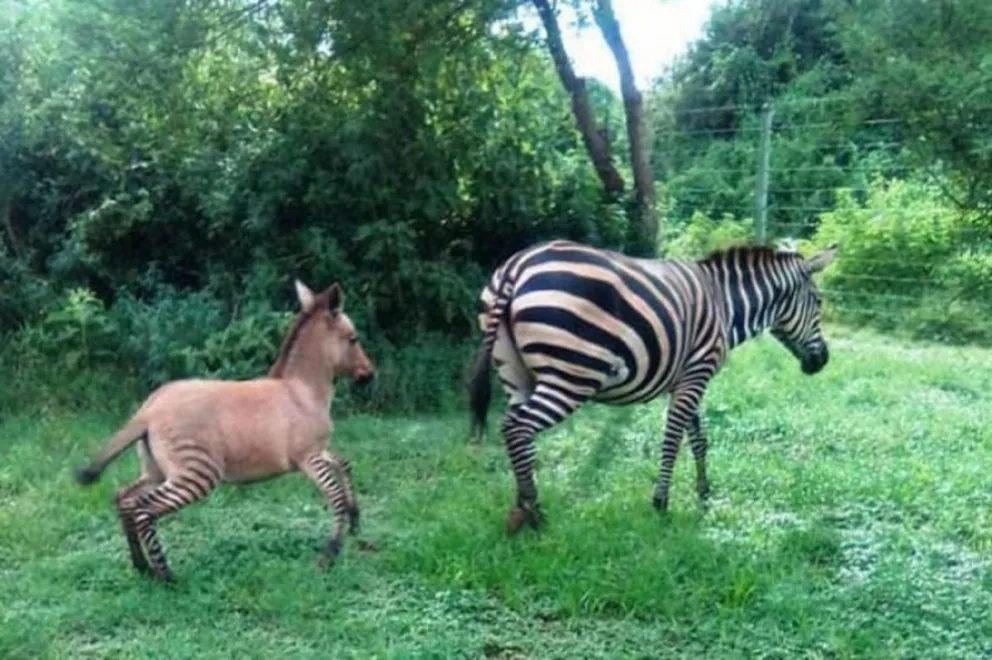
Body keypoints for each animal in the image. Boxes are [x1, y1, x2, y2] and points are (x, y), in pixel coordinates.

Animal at [466, 239, 839, 534]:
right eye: (819, 303)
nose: (822, 361)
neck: (725, 304)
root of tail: (516, 265)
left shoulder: (686, 377)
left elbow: (698, 438)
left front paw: (703, 492)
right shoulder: (697, 372)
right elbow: (673, 438)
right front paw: (661, 502)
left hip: (515, 373)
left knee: (519, 436)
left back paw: (522, 508)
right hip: (571, 375)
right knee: (517, 427)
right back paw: (534, 513)